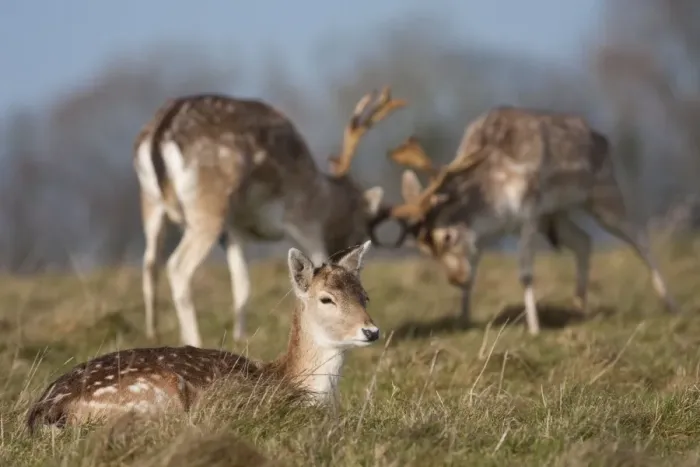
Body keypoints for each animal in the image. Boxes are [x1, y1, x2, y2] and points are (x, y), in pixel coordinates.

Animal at [133, 87, 405, 347]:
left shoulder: (235, 229)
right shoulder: (302, 217)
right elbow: (316, 261)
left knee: (150, 263)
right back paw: (193, 340)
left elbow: (242, 284)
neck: (323, 196)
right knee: (177, 266)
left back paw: (152, 334)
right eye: (361, 226)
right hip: (209, 205)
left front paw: (240, 337)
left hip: (150, 202)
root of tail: (160, 130)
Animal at [370, 106, 679, 335]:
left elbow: (525, 273)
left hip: (603, 192)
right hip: (557, 215)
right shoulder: (489, 233)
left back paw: (670, 303)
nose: (455, 278)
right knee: (584, 241)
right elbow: (476, 270)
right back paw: (579, 307)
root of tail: (603, 139)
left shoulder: (529, 212)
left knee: (639, 237)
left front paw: (534, 328)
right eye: (423, 249)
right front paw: (463, 319)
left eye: (447, 236)